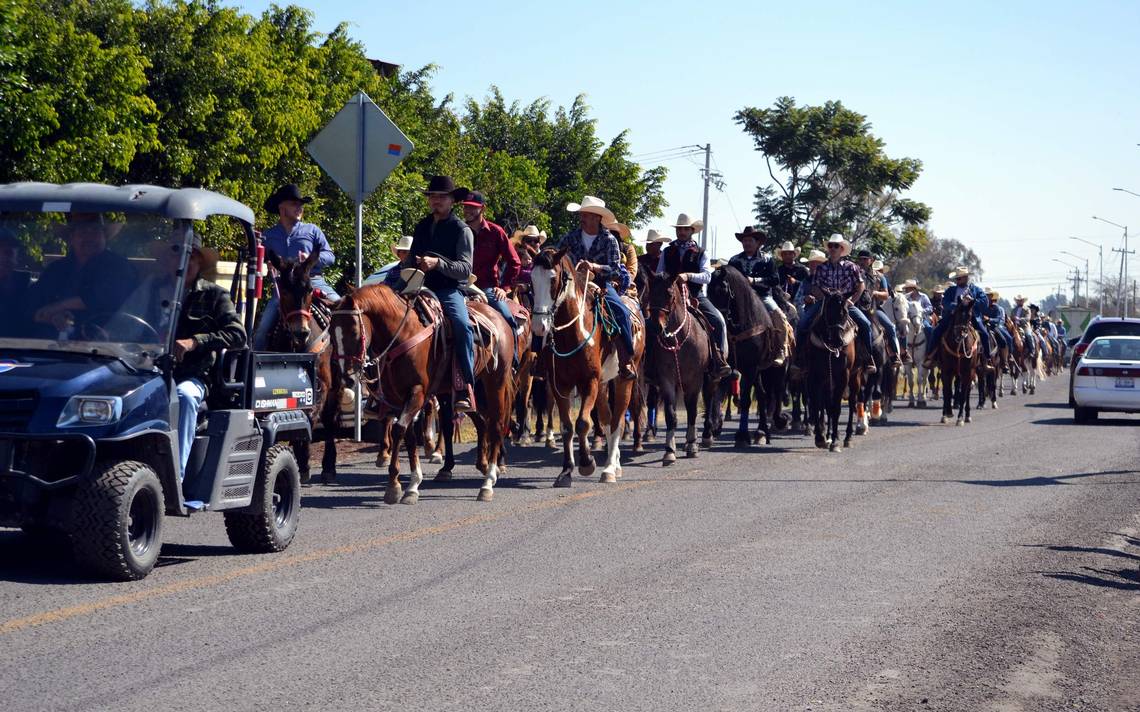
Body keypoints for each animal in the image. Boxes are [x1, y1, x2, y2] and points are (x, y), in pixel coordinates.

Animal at [264, 249, 339, 483]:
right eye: (284, 290)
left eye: (309, 290)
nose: (301, 332)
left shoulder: (321, 385)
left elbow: (310, 417)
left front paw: (304, 462)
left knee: (330, 420)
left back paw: (329, 466)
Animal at [332, 280, 515, 503]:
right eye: (331, 332)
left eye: (354, 331)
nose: (346, 377)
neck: (403, 334)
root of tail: (498, 317)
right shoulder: (399, 398)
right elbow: (408, 435)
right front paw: (410, 485)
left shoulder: (417, 393)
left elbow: (398, 429)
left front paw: (395, 484)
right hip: (470, 391)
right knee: (482, 422)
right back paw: (483, 466)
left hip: (495, 383)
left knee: (496, 424)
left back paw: (488, 482)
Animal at [531, 243, 647, 483]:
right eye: (531, 280)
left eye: (553, 279)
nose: (539, 326)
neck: (575, 331)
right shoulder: (560, 385)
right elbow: (567, 427)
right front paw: (566, 471)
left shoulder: (589, 381)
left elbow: (583, 423)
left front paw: (586, 463)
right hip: (603, 384)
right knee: (608, 419)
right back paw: (616, 463)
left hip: (623, 379)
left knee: (617, 421)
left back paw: (610, 469)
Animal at [706, 264, 779, 446]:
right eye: (707, 291)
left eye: (722, 290)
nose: (714, 323)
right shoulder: (726, 365)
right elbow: (718, 393)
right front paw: (713, 427)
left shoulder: (751, 367)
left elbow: (745, 399)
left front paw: (742, 435)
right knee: (760, 393)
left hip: (761, 369)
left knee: (762, 395)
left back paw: (761, 431)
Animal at [802, 287, 857, 448]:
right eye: (828, 311)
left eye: (845, 312)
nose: (838, 340)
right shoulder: (814, 376)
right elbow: (818, 404)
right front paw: (820, 437)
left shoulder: (843, 376)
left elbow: (836, 408)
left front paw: (834, 442)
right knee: (826, 405)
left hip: (855, 377)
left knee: (852, 402)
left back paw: (847, 437)